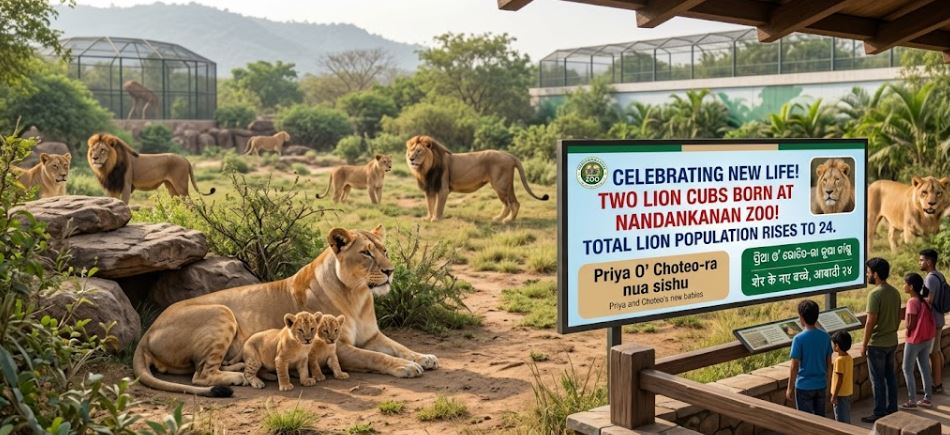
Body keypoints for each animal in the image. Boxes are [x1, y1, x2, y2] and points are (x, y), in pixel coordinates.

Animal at [86, 133, 215, 204]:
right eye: (93, 150)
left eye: (103, 150)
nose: (94, 158)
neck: (109, 168)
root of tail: (185, 159)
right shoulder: (111, 187)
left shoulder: (126, 186)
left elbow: (124, 204)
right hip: (171, 187)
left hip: (181, 187)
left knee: (191, 205)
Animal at [132, 225, 438, 397]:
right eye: (366, 253)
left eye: (384, 250)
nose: (390, 271)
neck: (358, 296)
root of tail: (147, 332)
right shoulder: (337, 346)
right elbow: (376, 357)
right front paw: (406, 367)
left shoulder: (372, 335)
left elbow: (397, 347)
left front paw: (424, 357)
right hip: (221, 311)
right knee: (200, 374)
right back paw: (240, 377)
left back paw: (245, 368)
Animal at [405, 135, 549, 222]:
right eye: (410, 151)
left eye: (419, 151)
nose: (411, 158)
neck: (425, 169)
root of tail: (509, 155)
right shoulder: (429, 189)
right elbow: (429, 204)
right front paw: (428, 218)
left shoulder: (443, 189)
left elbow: (438, 206)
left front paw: (436, 219)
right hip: (505, 186)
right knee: (512, 203)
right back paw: (502, 219)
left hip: (500, 185)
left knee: (511, 203)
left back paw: (506, 220)